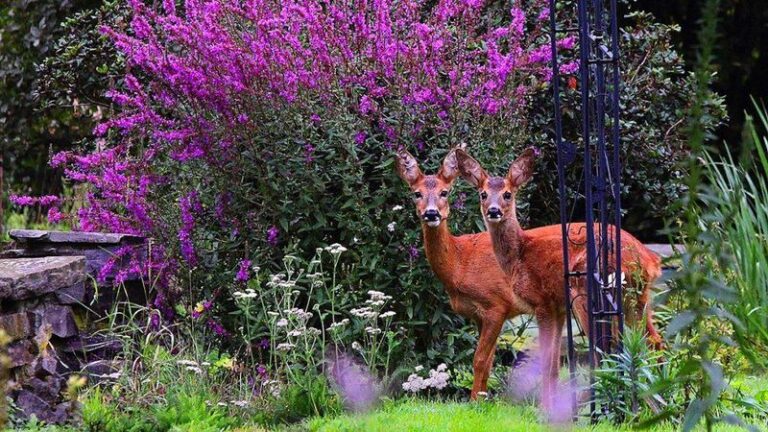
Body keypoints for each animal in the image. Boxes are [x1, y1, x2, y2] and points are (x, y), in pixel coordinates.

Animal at [454, 147, 663, 409]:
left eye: (507, 194)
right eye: (483, 194)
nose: (494, 211)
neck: (520, 255)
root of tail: (649, 259)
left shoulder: (542, 302)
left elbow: (547, 361)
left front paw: (545, 406)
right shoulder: (559, 307)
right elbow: (554, 363)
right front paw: (550, 404)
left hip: (590, 290)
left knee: (606, 349)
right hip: (638, 298)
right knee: (651, 341)